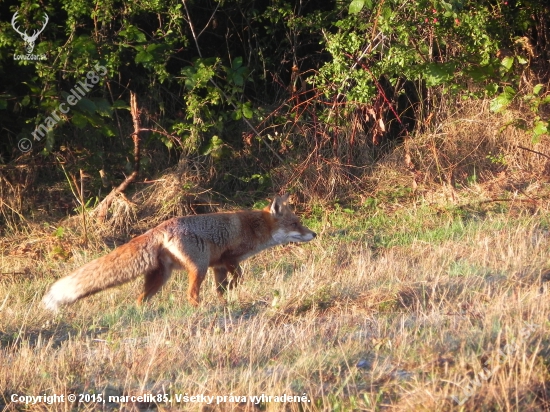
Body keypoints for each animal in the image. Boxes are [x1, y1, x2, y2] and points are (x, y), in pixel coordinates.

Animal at [42, 195, 316, 310]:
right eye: (295, 224)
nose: (314, 234)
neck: (254, 227)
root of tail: (158, 228)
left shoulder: (219, 266)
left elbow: (223, 289)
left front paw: (226, 300)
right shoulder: (229, 259)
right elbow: (238, 278)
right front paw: (231, 296)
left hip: (161, 278)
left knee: (140, 300)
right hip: (198, 269)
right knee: (191, 296)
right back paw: (199, 311)